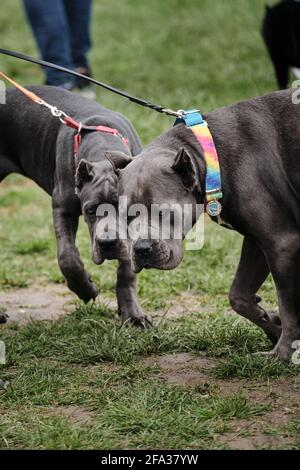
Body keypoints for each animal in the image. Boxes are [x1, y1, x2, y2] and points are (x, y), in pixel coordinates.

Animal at [0, 85, 150, 326]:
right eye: (90, 210)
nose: (108, 244)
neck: (103, 153)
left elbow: (127, 268)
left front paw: (133, 314)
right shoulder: (63, 208)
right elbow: (67, 256)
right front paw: (85, 289)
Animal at [111, 88, 300, 360]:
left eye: (162, 212)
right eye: (126, 216)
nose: (142, 248)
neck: (212, 156)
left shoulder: (282, 243)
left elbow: (289, 306)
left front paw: (283, 353)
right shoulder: (259, 241)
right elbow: (238, 295)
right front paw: (272, 324)